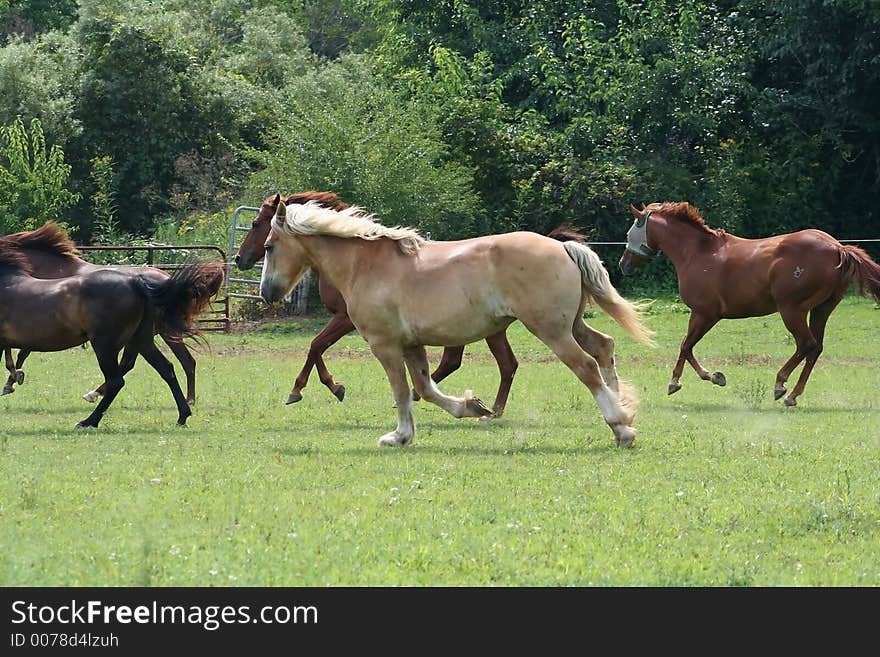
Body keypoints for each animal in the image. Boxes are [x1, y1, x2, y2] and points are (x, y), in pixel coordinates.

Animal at [0, 226, 225, 428]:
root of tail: (142, 284)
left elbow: (19, 355)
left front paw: (12, 381)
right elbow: (15, 355)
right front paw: (13, 379)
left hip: (107, 344)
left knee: (121, 378)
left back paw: (88, 419)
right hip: (142, 339)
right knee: (166, 367)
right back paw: (183, 414)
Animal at [260, 200, 652, 446]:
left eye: (268, 246)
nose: (266, 292)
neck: (366, 266)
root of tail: (563, 247)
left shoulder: (384, 344)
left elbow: (402, 390)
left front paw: (397, 436)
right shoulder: (411, 344)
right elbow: (426, 388)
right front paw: (469, 408)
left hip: (551, 330)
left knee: (586, 366)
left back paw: (620, 428)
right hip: (572, 325)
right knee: (603, 348)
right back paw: (625, 412)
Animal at [620, 201, 880, 404]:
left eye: (628, 233)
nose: (624, 264)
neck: (697, 253)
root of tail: (838, 247)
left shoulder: (704, 314)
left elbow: (685, 345)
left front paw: (684, 381)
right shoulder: (704, 315)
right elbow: (687, 346)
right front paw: (712, 377)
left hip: (792, 310)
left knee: (806, 344)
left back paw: (780, 385)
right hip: (821, 309)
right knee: (816, 348)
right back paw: (793, 395)